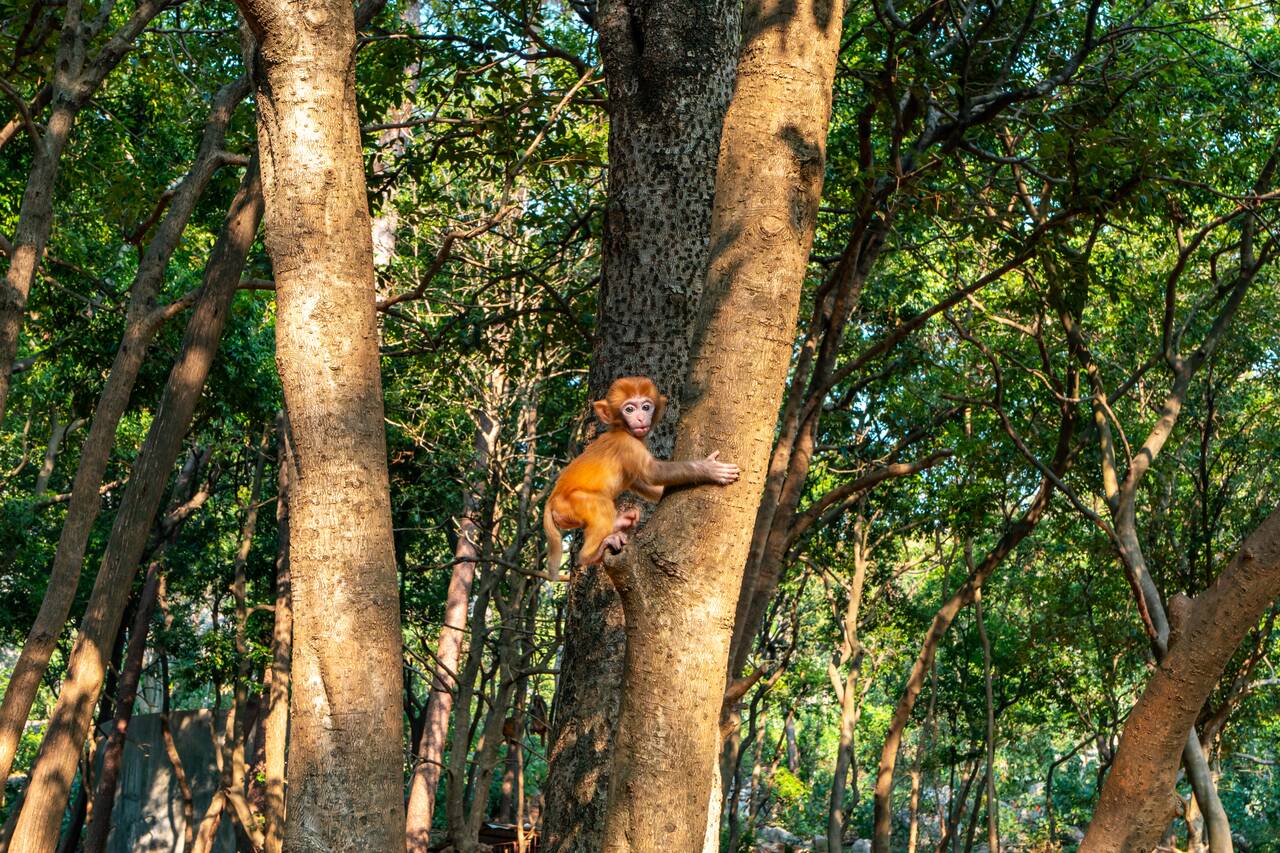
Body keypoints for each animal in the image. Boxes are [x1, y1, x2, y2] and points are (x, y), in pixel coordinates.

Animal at [543, 376, 740, 570]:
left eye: (646, 407)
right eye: (629, 409)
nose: (639, 418)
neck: (623, 430)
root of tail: (551, 502)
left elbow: (644, 483)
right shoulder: (629, 446)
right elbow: (652, 473)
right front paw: (709, 469)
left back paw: (620, 522)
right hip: (570, 503)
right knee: (599, 505)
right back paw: (591, 554)